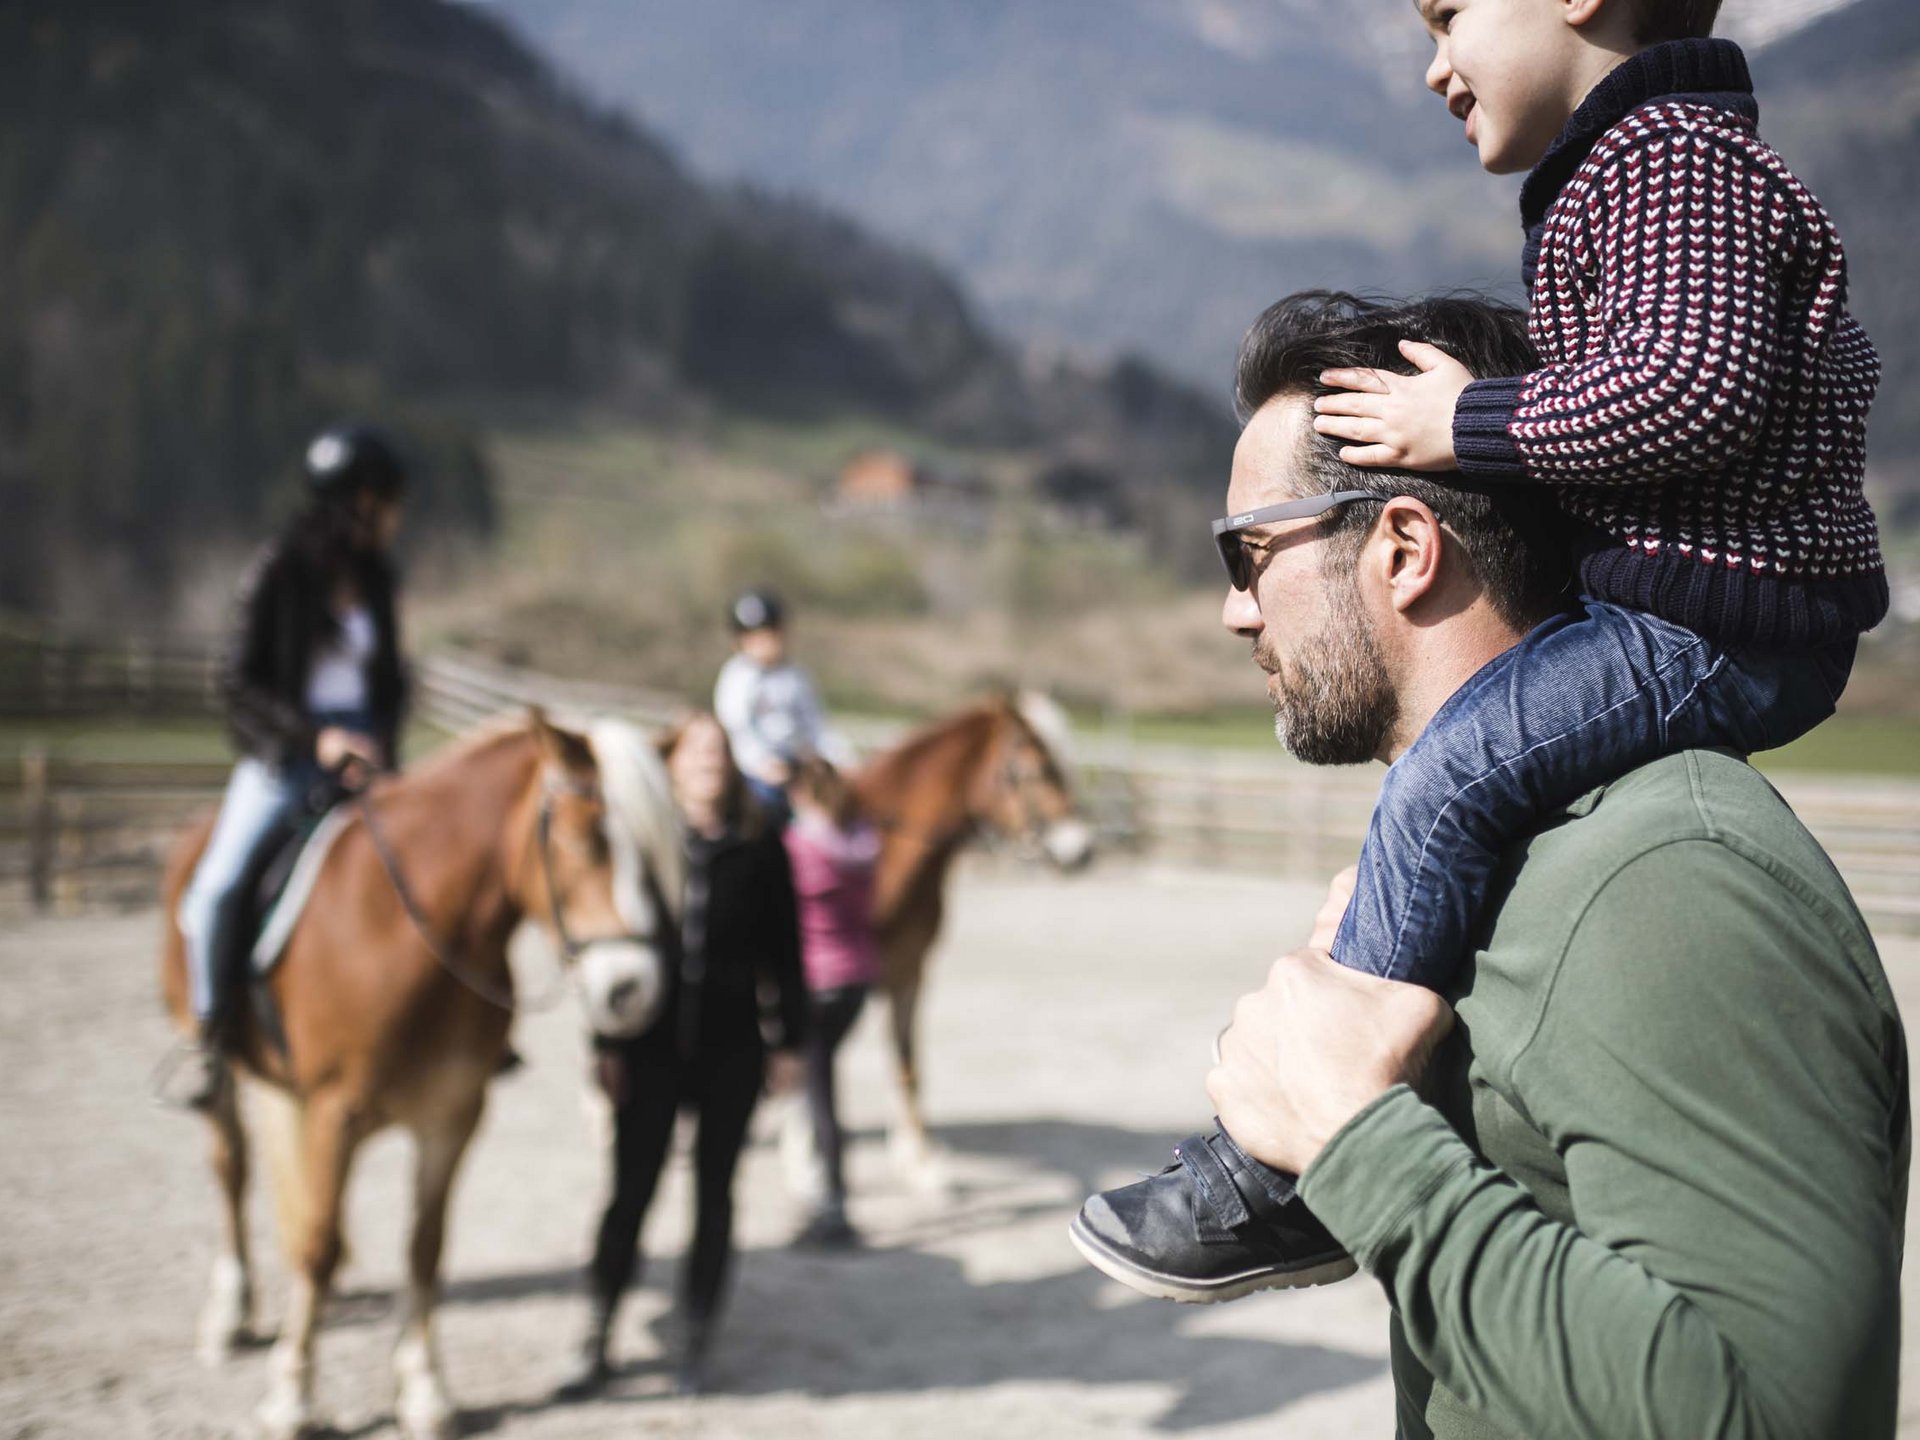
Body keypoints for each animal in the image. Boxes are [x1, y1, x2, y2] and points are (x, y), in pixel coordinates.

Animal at [161, 714, 679, 1440]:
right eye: (583, 836)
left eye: (662, 857)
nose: (635, 991)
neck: (408, 934)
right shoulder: (336, 1113)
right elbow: (316, 1244)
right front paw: (292, 1396)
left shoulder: (453, 1117)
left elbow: (424, 1249)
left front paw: (425, 1390)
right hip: (226, 1073)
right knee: (233, 1172)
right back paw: (229, 1315)